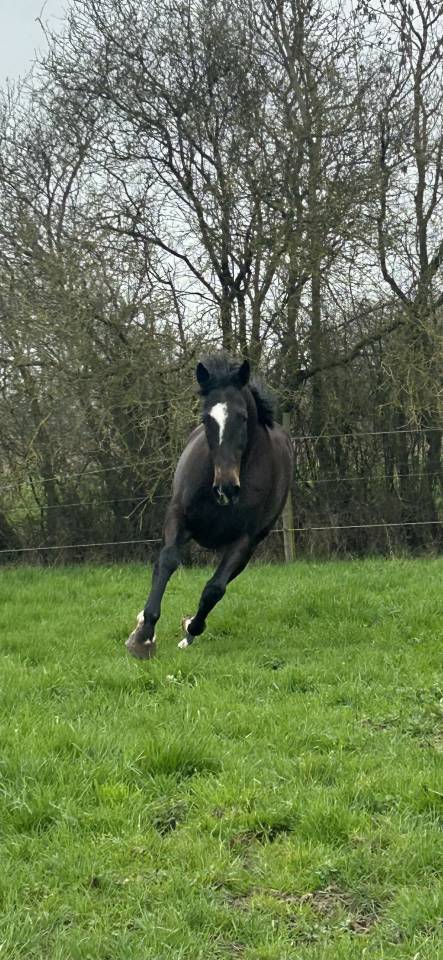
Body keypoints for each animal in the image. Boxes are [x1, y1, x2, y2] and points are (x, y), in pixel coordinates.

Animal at [126, 353, 293, 659]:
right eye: (206, 418)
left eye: (242, 417)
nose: (226, 487)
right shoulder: (179, 516)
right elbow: (167, 561)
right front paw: (143, 636)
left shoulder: (245, 539)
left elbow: (214, 588)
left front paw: (191, 628)